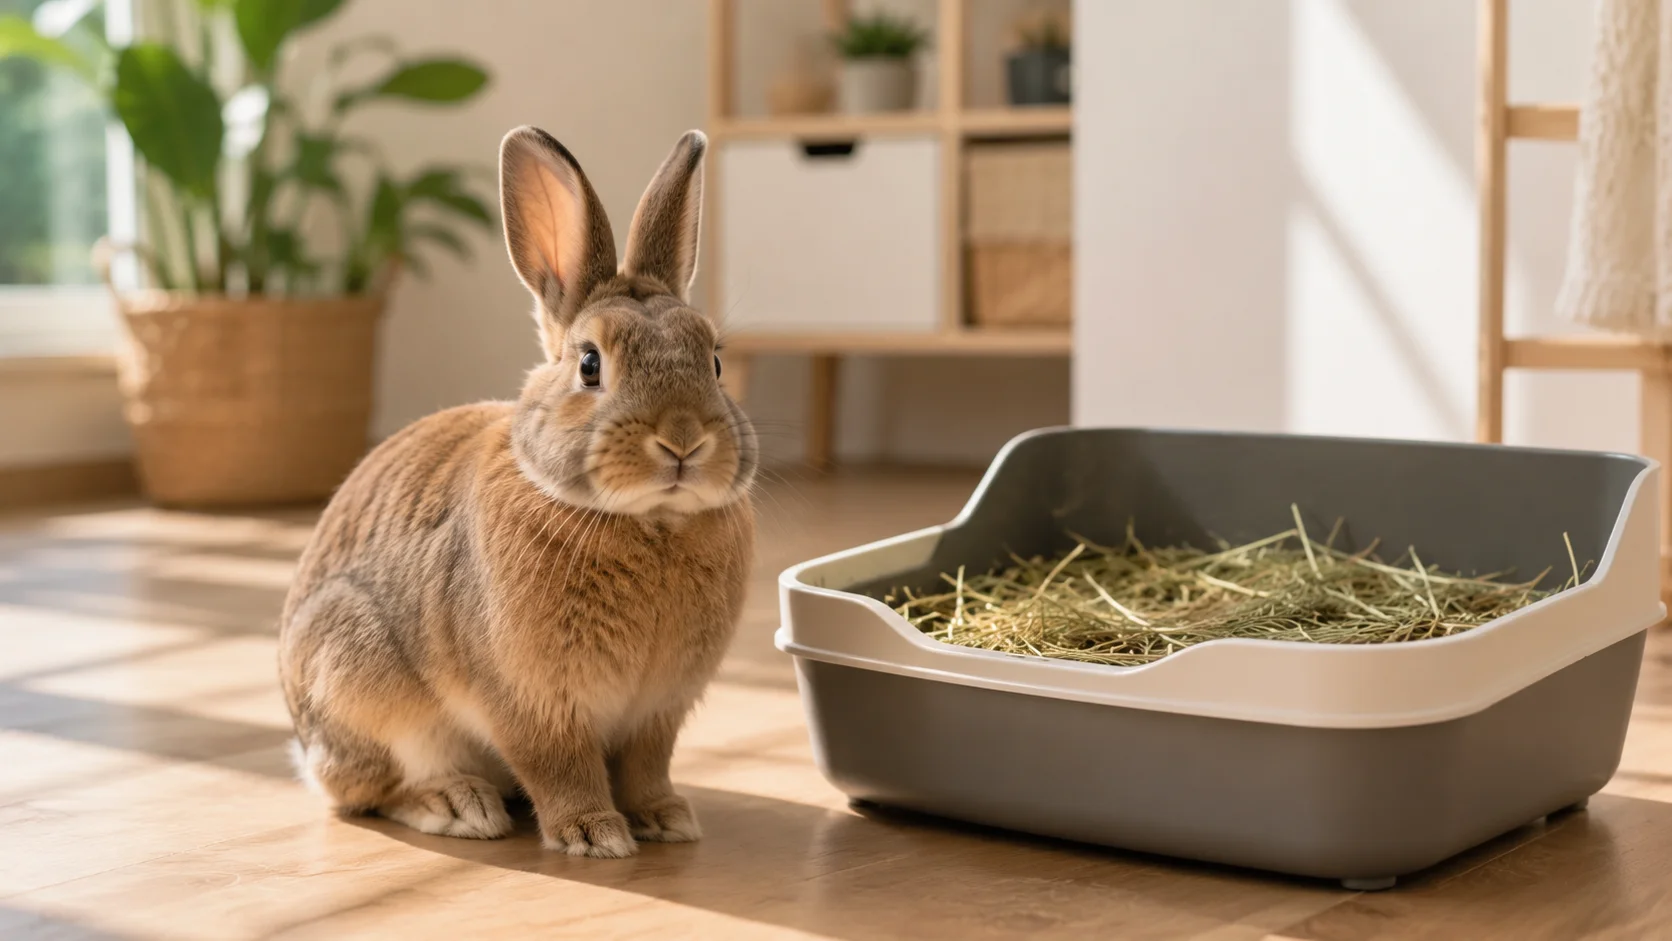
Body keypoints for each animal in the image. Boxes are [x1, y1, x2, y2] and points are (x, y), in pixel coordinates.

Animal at [277, 125, 757, 858]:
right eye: (589, 364)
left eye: (716, 360)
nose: (682, 441)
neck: (648, 522)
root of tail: (303, 746)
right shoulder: (533, 702)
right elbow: (559, 766)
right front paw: (594, 834)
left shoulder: (657, 711)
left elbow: (648, 767)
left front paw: (666, 818)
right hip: (358, 679)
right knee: (369, 789)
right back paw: (459, 803)